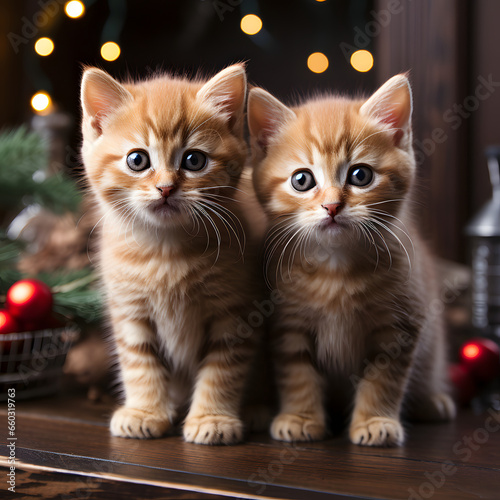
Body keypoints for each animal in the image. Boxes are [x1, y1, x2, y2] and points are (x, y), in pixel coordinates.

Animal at [80, 64, 258, 444]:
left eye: (194, 160)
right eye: (137, 160)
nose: (165, 188)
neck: (166, 253)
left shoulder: (234, 311)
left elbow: (223, 368)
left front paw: (212, 418)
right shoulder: (130, 310)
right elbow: (139, 362)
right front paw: (145, 411)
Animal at [248, 74, 456, 446]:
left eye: (361, 175)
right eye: (302, 180)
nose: (332, 206)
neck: (336, 270)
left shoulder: (400, 326)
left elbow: (383, 381)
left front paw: (375, 421)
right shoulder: (288, 324)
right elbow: (297, 374)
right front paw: (301, 417)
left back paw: (432, 401)